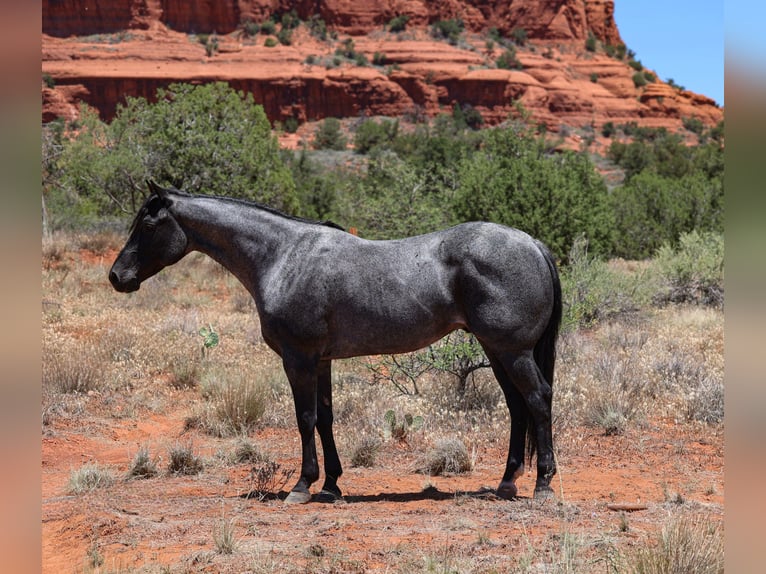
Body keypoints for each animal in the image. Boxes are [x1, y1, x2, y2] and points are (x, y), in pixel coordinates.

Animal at [109, 180, 562, 503]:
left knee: (537, 400)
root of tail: (533, 243)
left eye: (147, 225)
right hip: (497, 350)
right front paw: (331, 485)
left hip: (512, 351)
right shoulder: (321, 360)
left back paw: (542, 485)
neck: (282, 257)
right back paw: (506, 483)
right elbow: (325, 418)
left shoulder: (299, 359)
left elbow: (304, 418)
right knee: (517, 407)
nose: (117, 277)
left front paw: (302, 486)